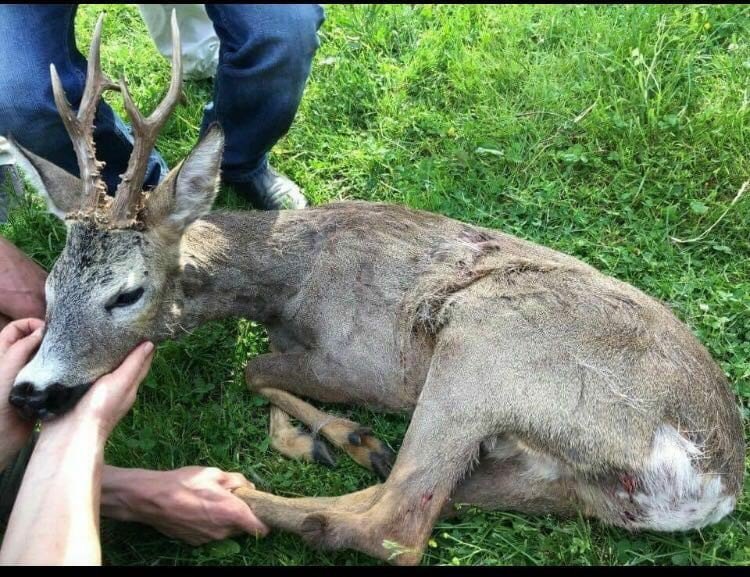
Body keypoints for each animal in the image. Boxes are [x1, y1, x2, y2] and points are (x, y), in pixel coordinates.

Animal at [4, 12, 748, 564]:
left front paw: (332, 430)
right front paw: (331, 434)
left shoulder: (370, 366)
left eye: (126, 293)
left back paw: (232, 493)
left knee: (395, 525)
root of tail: (711, 483)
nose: (29, 391)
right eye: (50, 290)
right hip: (555, 480)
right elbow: (261, 370)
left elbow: (253, 367)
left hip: (484, 346)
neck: (289, 282)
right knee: (418, 497)